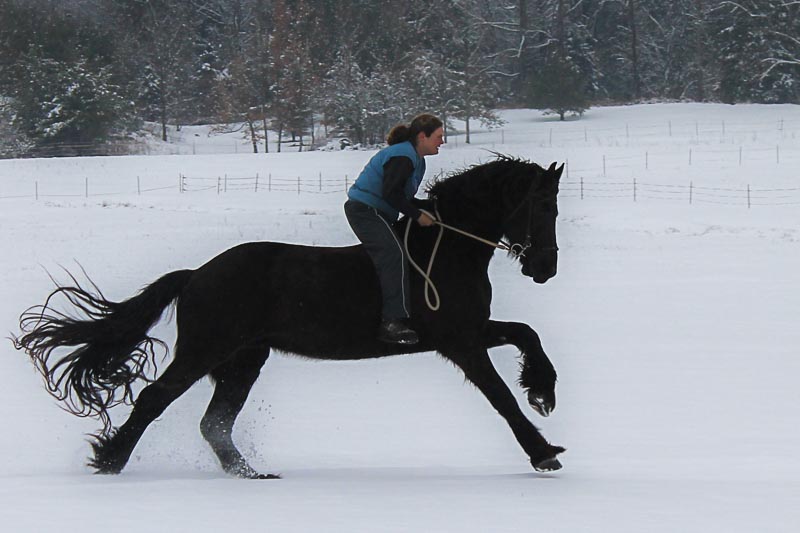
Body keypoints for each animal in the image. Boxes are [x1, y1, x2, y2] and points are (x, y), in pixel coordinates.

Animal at [12, 156, 564, 476]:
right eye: (541, 205)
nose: (545, 268)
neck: (446, 249)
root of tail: (195, 275)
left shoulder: (471, 332)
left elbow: (528, 335)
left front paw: (543, 391)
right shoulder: (460, 341)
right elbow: (501, 398)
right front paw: (542, 450)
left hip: (243, 359)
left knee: (215, 422)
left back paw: (251, 474)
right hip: (205, 351)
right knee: (154, 399)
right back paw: (110, 460)